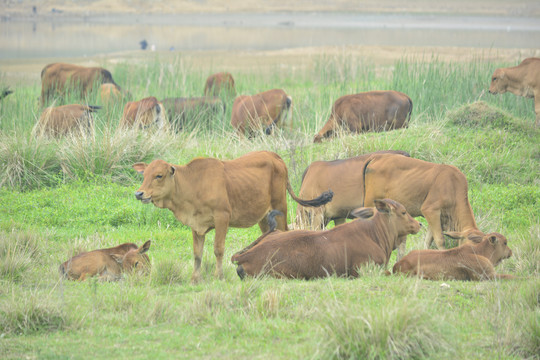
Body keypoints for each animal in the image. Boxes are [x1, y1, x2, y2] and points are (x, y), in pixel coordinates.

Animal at [132, 150, 334, 282]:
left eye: (158, 175)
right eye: (144, 175)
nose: (139, 194)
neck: (193, 184)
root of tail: (274, 155)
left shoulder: (222, 218)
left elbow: (218, 249)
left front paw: (219, 276)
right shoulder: (196, 226)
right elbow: (197, 254)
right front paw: (195, 278)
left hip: (280, 208)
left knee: (284, 232)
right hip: (264, 217)